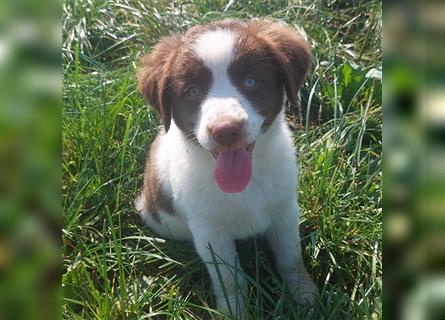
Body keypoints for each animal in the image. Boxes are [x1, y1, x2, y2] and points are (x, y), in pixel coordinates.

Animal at [134, 18, 316, 316]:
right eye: (192, 92)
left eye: (251, 81)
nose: (225, 130)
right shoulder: (210, 232)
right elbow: (228, 277)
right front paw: (234, 311)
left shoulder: (285, 210)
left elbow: (291, 256)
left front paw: (304, 294)